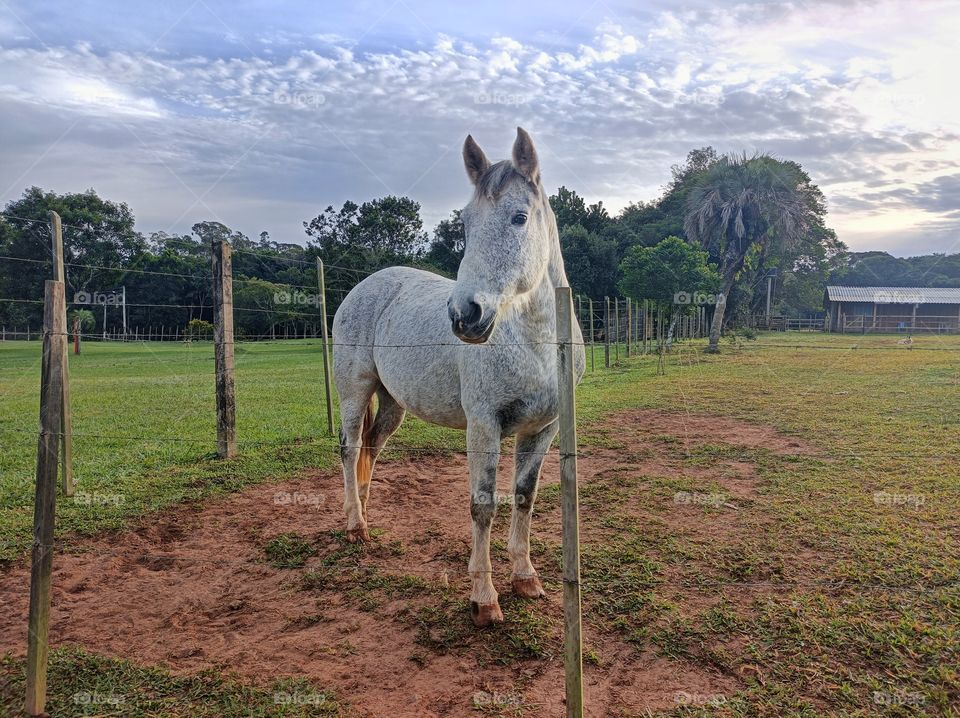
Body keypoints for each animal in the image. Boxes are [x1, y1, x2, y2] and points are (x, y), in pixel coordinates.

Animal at [332, 127, 585, 626]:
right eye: (466, 223)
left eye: (519, 217)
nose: (465, 314)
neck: (537, 344)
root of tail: (365, 286)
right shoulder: (484, 425)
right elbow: (482, 504)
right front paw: (484, 598)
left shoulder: (544, 428)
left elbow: (524, 496)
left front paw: (525, 577)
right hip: (355, 390)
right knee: (350, 450)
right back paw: (355, 525)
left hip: (392, 404)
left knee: (371, 449)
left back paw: (366, 512)